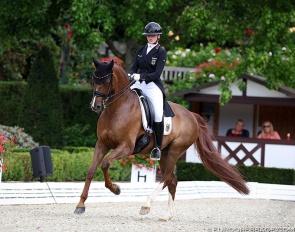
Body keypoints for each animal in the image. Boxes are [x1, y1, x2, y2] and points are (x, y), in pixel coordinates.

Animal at [74, 58, 250, 221]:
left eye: (105, 81)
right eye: (94, 79)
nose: (95, 106)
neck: (117, 108)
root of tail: (192, 115)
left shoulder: (126, 147)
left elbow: (105, 164)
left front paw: (116, 189)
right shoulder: (102, 144)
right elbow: (91, 171)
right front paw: (80, 205)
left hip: (175, 150)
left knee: (166, 178)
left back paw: (146, 205)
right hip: (164, 153)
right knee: (172, 180)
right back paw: (167, 215)